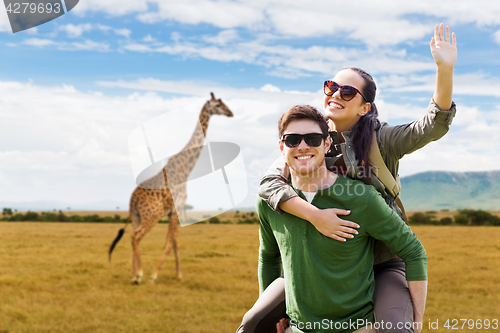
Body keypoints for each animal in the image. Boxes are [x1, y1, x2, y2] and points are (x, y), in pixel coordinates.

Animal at [108, 93, 233, 282]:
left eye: (224, 103)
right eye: (218, 105)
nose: (230, 113)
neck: (185, 170)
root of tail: (133, 199)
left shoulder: (174, 212)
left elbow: (176, 242)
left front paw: (179, 275)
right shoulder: (177, 209)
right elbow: (169, 243)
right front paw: (154, 275)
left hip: (136, 216)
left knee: (132, 236)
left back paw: (134, 275)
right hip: (152, 215)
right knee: (136, 236)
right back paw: (140, 274)